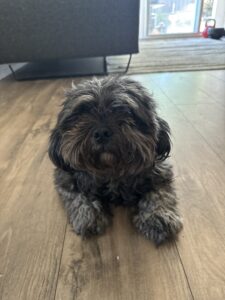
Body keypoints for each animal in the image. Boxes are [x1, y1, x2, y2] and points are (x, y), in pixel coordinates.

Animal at [48, 76, 183, 245]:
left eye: (124, 111)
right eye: (81, 113)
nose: (102, 132)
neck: (111, 171)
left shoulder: (160, 173)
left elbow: (159, 194)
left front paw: (157, 216)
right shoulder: (66, 177)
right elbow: (77, 195)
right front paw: (89, 214)